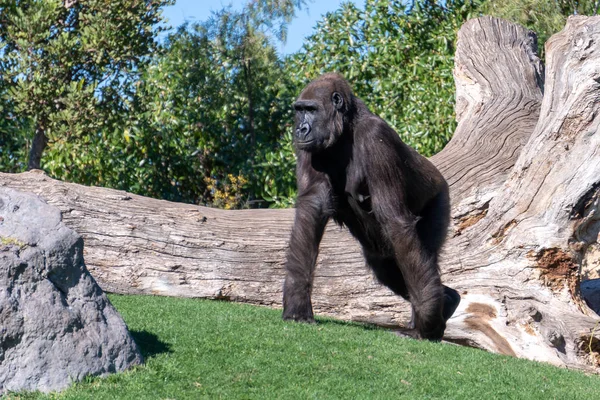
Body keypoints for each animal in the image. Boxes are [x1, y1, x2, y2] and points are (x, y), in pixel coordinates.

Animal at [282, 72, 460, 340]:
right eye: (299, 110)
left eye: (311, 110)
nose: (300, 129)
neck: (346, 129)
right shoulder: (310, 149)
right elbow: (312, 207)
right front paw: (297, 303)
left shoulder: (376, 137)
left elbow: (395, 220)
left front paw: (427, 321)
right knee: (386, 268)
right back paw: (447, 300)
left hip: (440, 196)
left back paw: (434, 313)